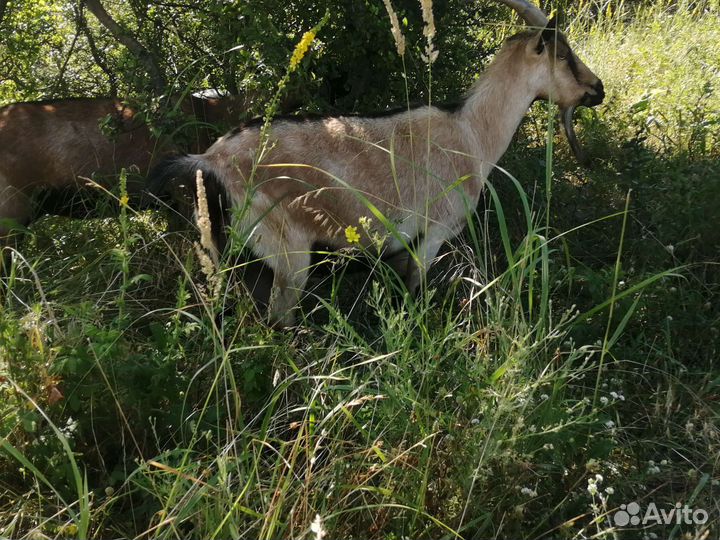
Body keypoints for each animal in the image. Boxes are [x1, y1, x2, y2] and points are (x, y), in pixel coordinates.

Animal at [149, 0, 605, 326]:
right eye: (563, 55)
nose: (597, 89)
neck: (472, 133)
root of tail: (210, 161)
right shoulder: (435, 233)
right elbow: (415, 293)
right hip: (287, 252)